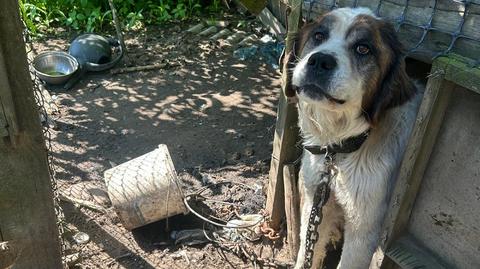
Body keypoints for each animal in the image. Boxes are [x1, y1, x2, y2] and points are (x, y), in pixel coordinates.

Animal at [286, 7, 422, 266]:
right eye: (319, 36)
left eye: (363, 49)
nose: (320, 60)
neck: (339, 154)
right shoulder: (315, 201)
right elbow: (306, 253)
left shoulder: (364, 229)